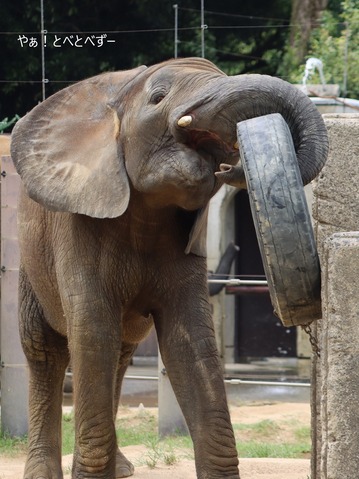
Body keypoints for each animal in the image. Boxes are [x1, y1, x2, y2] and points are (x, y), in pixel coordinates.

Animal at [10, 57, 330, 479]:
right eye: (158, 97)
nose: (231, 166)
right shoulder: (77, 226)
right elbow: (93, 331)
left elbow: (190, 342)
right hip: (30, 262)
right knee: (44, 349)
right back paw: (43, 472)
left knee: (120, 353)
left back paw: (122, 468)